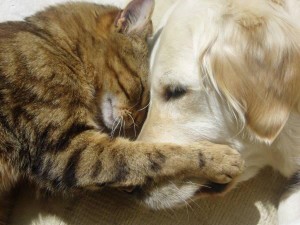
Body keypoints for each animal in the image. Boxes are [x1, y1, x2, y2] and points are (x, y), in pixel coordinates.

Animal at [0, 0, 243, 221]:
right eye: (143, 91)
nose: (135, 121)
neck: (55, 44)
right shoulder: (66, 149)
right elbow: (153, 154)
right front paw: (218, 158)